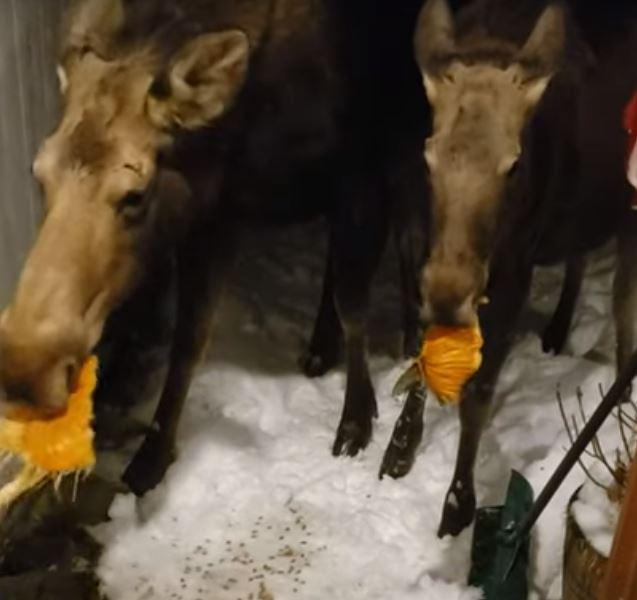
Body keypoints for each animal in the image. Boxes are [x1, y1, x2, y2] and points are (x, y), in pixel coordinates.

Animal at [0, 0, 430, 494]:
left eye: (135, 193)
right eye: (38, 172)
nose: (25, 369)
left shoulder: (358, 169)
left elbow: (354, 300)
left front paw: (357, 418)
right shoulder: (216, 213)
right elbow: (185, 336)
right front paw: (148, 451)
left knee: (405, 240)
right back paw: (323, 346)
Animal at [378, 0, 636, 540]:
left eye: (514, 165)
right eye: (428, 157)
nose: (450, 291)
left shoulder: (514, 267)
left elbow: (478, 393)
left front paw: (459, 506)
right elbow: (423, 353)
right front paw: (400, 446)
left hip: (628, 207)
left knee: (624, 294)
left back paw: (623, 396)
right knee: (582, 256)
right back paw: (557, 331)